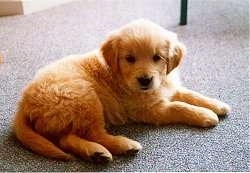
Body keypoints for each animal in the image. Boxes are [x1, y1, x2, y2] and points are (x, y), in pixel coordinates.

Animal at [13, 19, 230, 163]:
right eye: (130, 59)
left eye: (157, 57)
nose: (145, 80)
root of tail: (24, 101)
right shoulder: (147, 110)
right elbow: (177, 106)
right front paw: (204, 115)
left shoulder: (165, 87)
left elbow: (189, 94)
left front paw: (217, 105)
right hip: (84, 97)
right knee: (94, 133)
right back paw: (124, 145)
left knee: (67, 139)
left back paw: (96, 153)